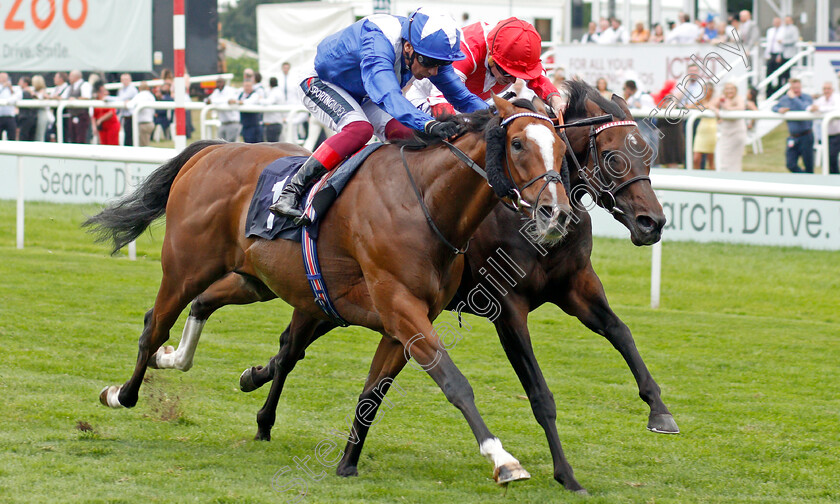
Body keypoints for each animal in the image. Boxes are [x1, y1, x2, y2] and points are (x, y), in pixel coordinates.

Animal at [85, 93, 572, 484]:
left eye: (562, 147)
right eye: (517, 144)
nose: (557, 213)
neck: (424, 203)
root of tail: (213, 150)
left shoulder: (402, 321)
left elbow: (372, 393)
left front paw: (347, 463)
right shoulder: (401, 307)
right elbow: (455, 383)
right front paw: (503, 460)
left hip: (255, 278)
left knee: (201, 309)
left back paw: (175, 360)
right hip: (185, 267)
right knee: (154, 325)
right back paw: (122, 394)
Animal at [240, 79, 672, 492]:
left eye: (648, 154)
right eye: (613, 155)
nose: (652, 222)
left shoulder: (576, 285)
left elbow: (620, 330)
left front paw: (660, 411)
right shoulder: (507, 307)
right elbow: (539, 392)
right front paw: (564, 474)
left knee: (290, 346)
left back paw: (257, 382)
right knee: (291, 348)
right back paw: (262, 412)